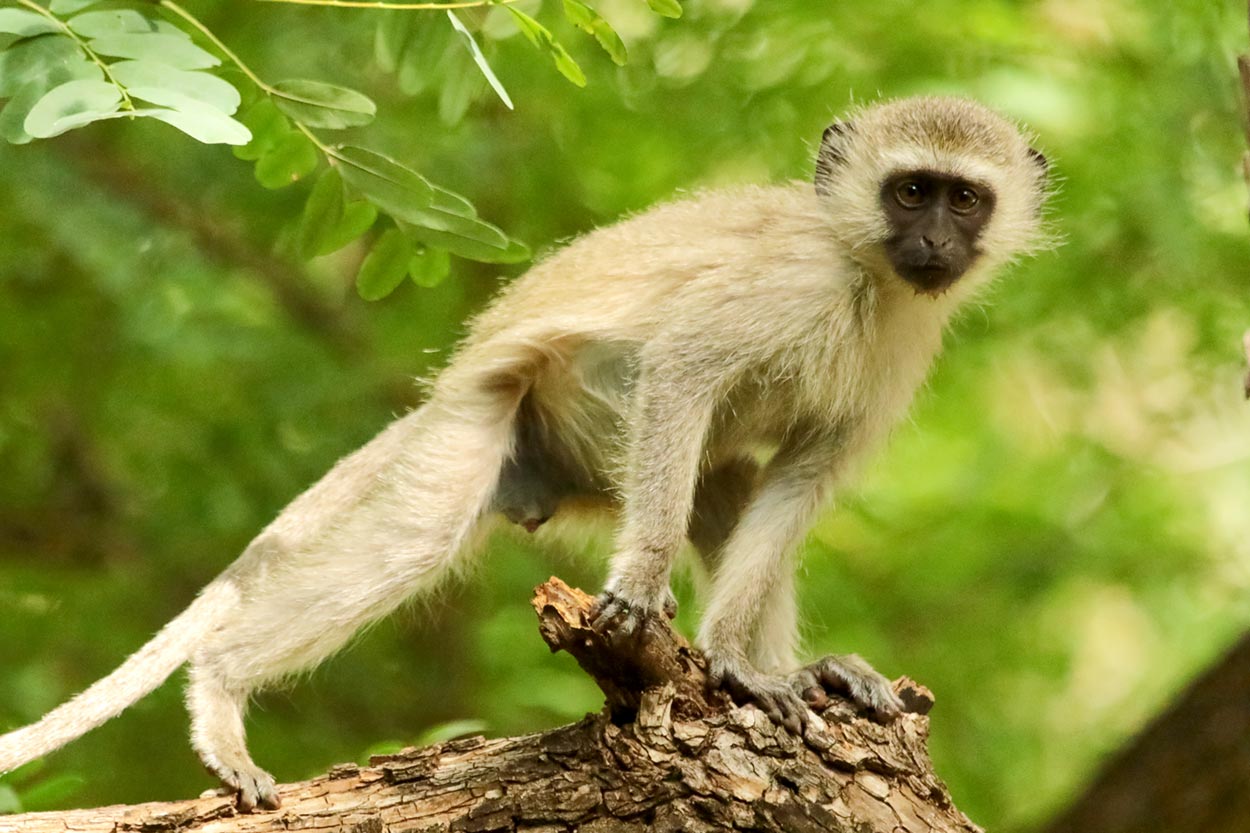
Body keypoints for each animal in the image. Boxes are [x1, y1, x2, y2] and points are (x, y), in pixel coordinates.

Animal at [0, 96, 1051, 812]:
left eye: (964, 199)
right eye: (910, 190)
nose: (933, 240)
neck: (866, 276)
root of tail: (454, 387)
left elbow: (794, 482)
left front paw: (741, 665)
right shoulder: (786, 286)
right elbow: (682, 370)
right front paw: (672, 614)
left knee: (726, 486)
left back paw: (801, 667)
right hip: (492, 420)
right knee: (421, 537)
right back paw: (220, 688)